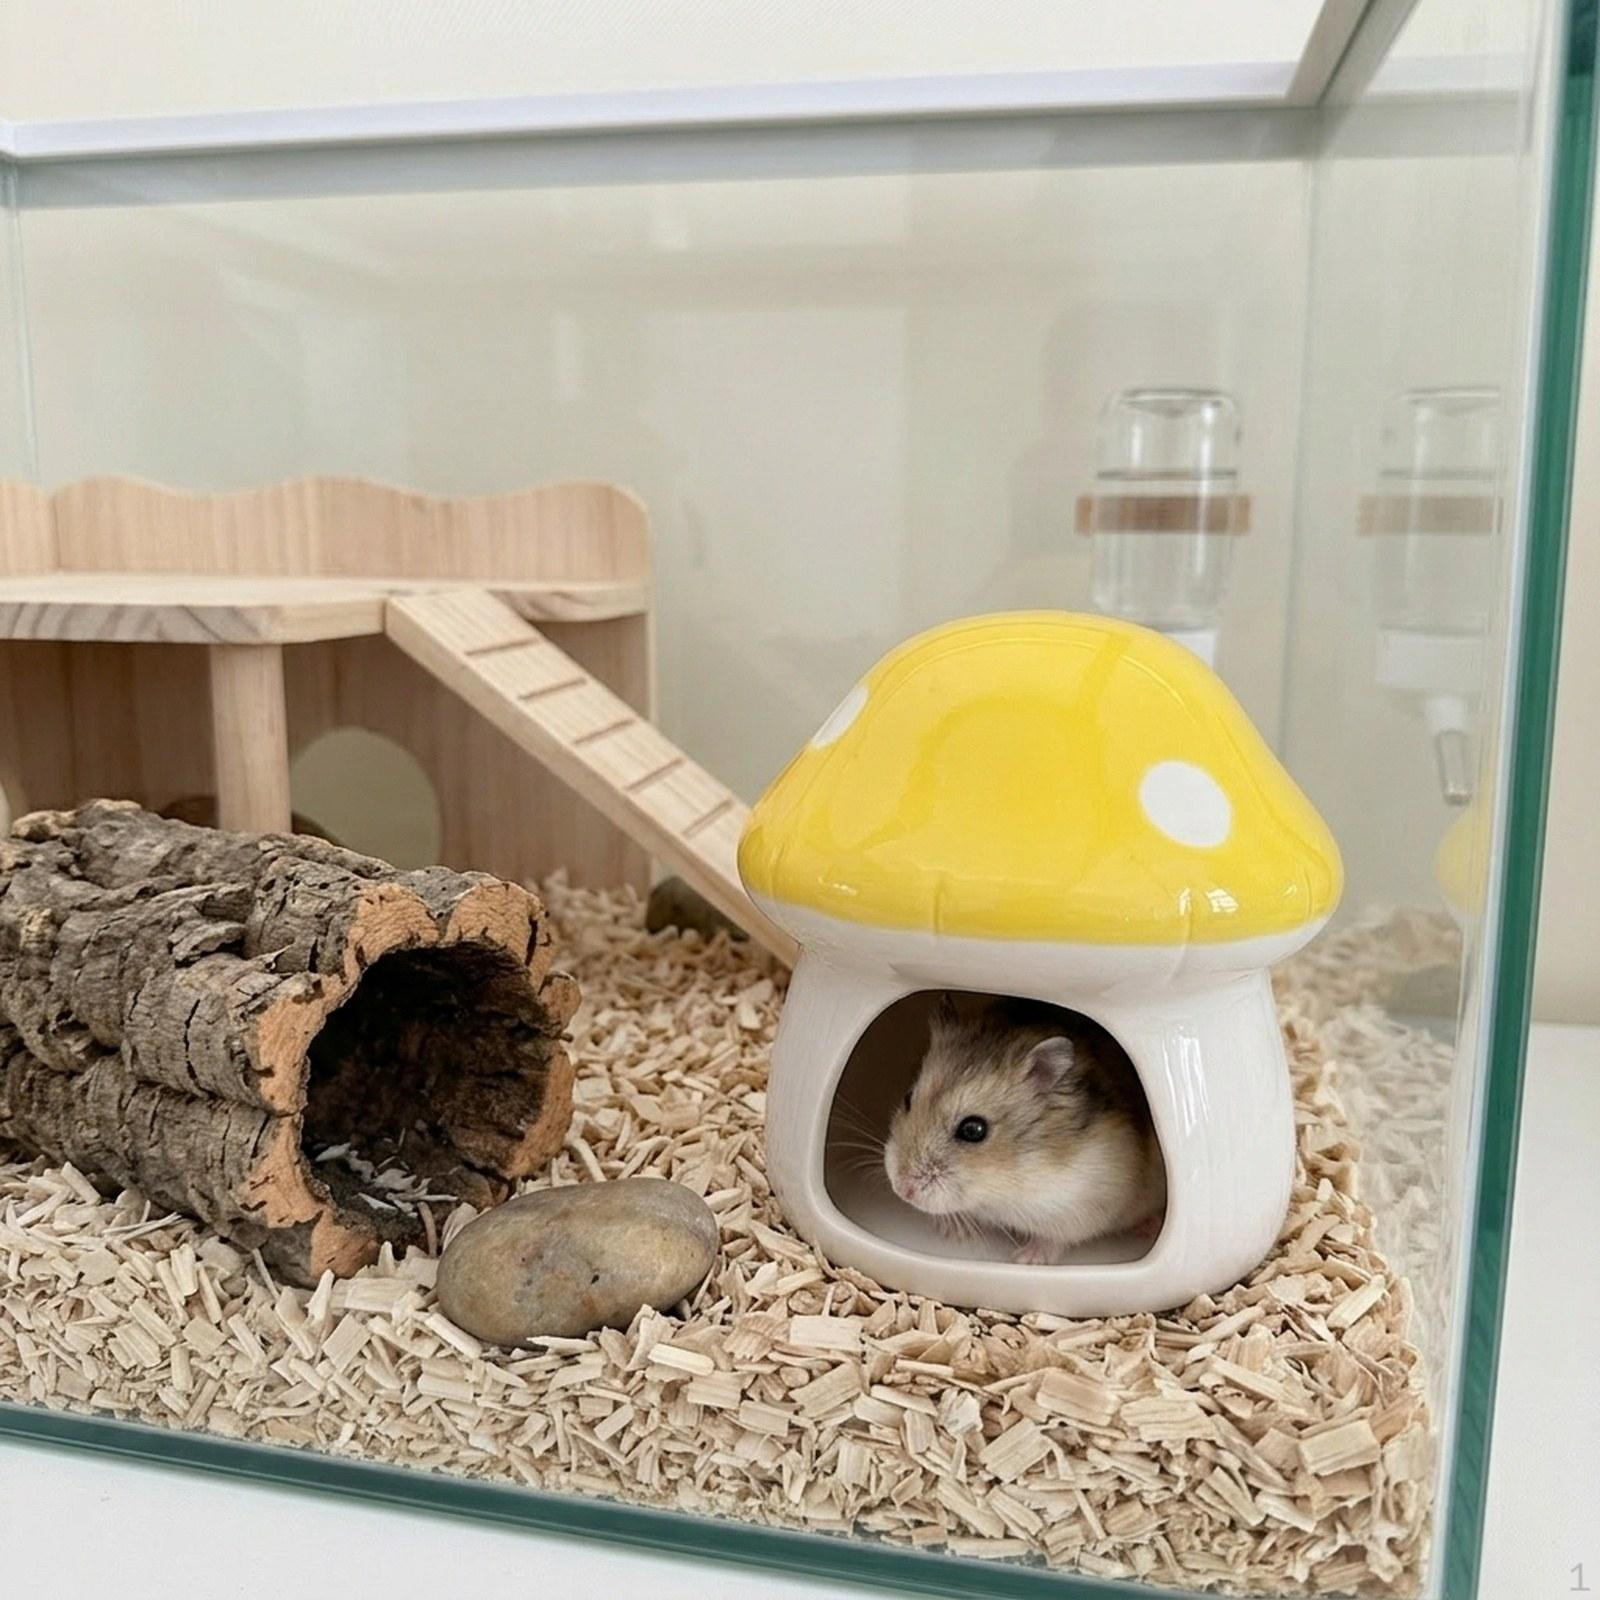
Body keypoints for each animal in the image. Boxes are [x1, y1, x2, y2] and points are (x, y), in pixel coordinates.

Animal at [884, 994, 1165, 1264]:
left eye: (973, 1130)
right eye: (908, 1098)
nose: (902, 1190)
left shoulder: (1083, 1205)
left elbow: (1056, 1238)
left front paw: (1025, 1258)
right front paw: (951, 1231)